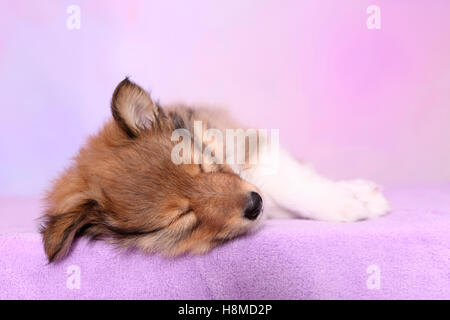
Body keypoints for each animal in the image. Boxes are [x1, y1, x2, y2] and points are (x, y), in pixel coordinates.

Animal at [39, 78, 390, 262]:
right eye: (182, 217)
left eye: (202, 166)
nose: (254, 205)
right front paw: (352, 201)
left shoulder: (253, 149)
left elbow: (295, 184)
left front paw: (348, 201)